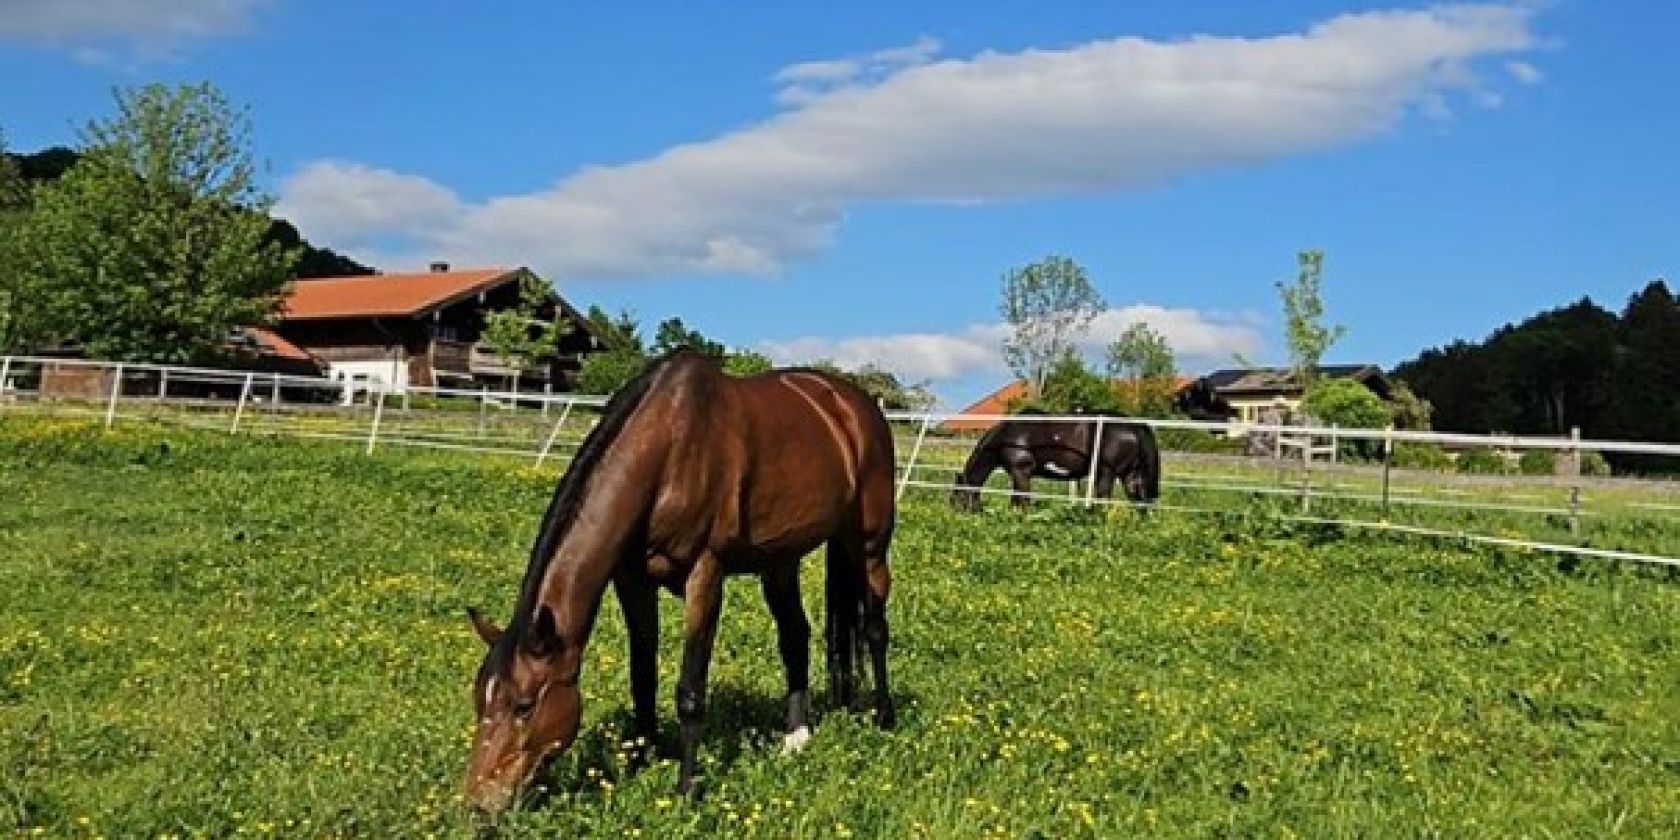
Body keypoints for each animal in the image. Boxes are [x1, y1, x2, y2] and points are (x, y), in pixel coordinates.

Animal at [462, 350, 898, 814]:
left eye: (524, 706)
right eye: (479, 699)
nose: (479, 802)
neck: (668, 448)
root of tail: (855, 405)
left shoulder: (705, 574)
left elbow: (690, 689)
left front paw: (687, 789)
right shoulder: (632, 581)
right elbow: (642, 676)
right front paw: (640, 760)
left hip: (869, 546)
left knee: (874, 629)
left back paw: (884, 717)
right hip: (780, 559)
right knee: (795, 635)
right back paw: (796, 738)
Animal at [951, 412, 1161, 511]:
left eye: (957, 497)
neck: (1008, 435)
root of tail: (1134, 426)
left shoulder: (1021, 472)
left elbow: (1022, 502)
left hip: (1106, 474)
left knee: (1103, 502)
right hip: (1131, 475)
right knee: (1141, 501)